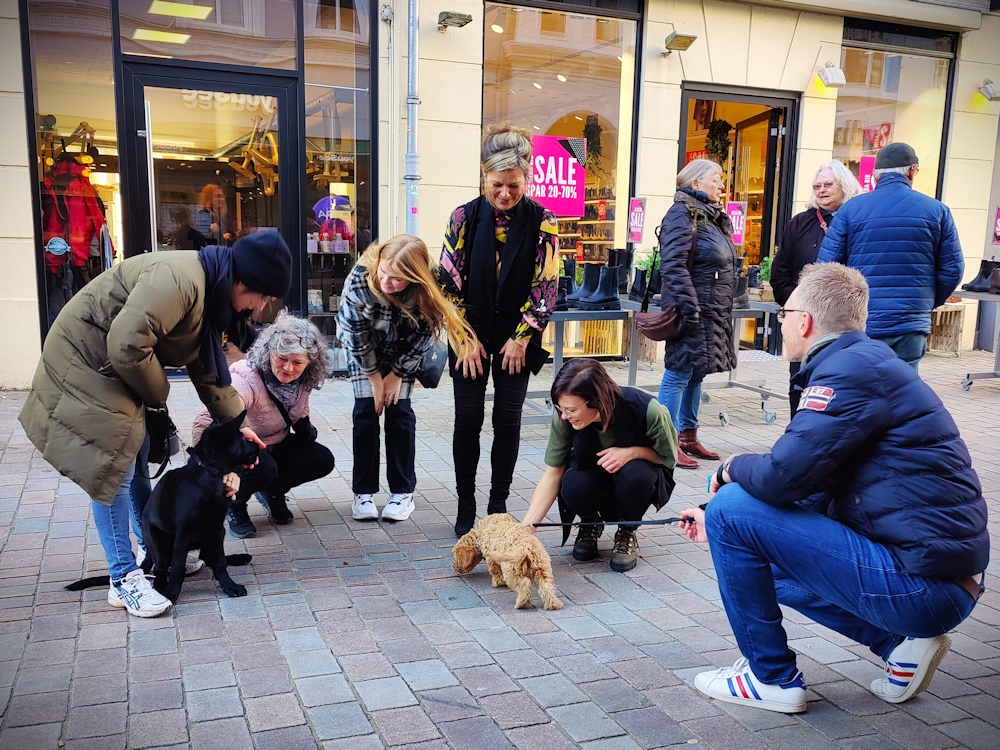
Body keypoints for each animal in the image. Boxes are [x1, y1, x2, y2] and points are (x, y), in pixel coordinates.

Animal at [146, 414, 262, 604]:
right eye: (243, 439)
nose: (259, 446)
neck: (209, 475)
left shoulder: (217, 529)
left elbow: (220, 563)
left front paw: (230, 586)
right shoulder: (183, 535)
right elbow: (178, 568)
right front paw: (172, 593)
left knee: (207, 558)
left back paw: (238, 558)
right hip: (159, 543)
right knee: (160, 568)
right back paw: (161, 586)